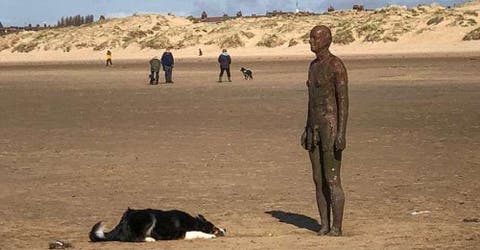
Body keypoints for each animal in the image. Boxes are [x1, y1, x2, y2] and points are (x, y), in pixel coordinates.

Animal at [89, 208, 227, 243]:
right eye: (214, 228)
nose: (225, 229)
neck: (192, 222)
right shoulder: (180, 233)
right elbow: (197, 232)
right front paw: (210, 236)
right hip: (149, 216)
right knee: (132, 238)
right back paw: (150, 239)